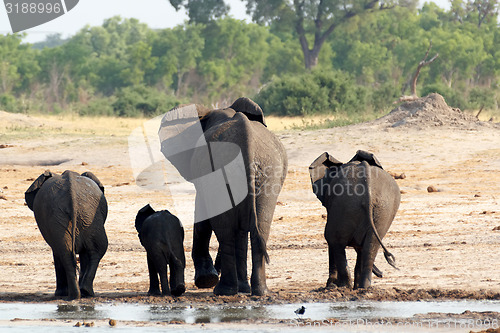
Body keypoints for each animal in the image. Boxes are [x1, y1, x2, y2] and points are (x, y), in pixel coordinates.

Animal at [24, 170, 108, 300]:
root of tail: (72, 194)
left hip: (76, 217)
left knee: (66, 253)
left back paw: (72, 294)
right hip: (86, 216)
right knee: (93, 251)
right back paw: (82, 293)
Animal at [158, 97, 288, 294]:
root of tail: (247, 140)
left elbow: (203, 217)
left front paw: (206, 280)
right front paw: (242, 288)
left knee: (226, 230)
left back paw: (223, 290)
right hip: (268, 172)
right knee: (260, 227)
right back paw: (258, 292)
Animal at [310, 150, 400, 288]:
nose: (381, 274)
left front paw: (331, 286)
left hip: (350, 206)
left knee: (334, 239)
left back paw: (344, 287)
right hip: (382, 209)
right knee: (370, 246)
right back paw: (362, 288)